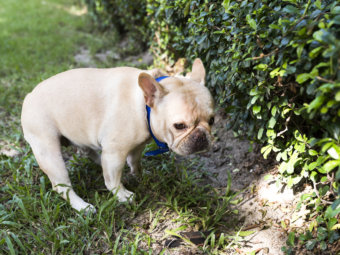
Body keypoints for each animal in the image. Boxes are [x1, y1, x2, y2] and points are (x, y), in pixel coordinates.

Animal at [21, 58, 214, 212]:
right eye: (179, 126)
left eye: (212, 120)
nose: (201, 136)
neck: (143, 105)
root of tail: (29, 96)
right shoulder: (115, 152)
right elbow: (113, 180)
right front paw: (122, 195)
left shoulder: (137, 145)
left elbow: (135, 161)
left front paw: (139, 174)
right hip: (49, 151)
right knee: (62, 186)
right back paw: (83, 207)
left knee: (89, 152)